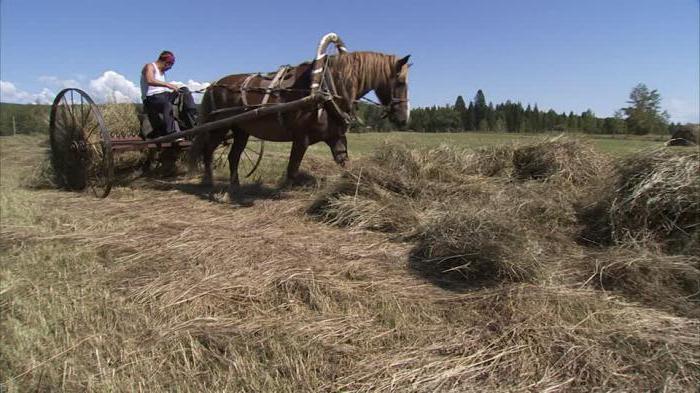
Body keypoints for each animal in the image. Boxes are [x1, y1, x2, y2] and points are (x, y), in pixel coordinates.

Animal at [191, 49, 410, 191]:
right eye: (400, 82)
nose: (404, 118)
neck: (327, 90)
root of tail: (214, 84)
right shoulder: (301, 138)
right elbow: (293, 168)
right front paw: (285, 190)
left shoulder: (335, 137)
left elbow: (345, 163)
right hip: (220, 127)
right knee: (208, 150)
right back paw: (208, 180)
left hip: (241, 130)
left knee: (233, 156)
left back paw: (235, 184)